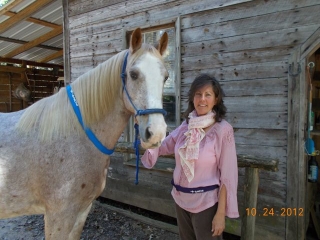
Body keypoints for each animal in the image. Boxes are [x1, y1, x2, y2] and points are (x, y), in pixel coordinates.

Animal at [0, 27, 169, 238]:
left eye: (166, 77)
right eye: (133, 74)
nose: (156, 133)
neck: (73, 136)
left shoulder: (81, 212)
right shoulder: (58, 216)